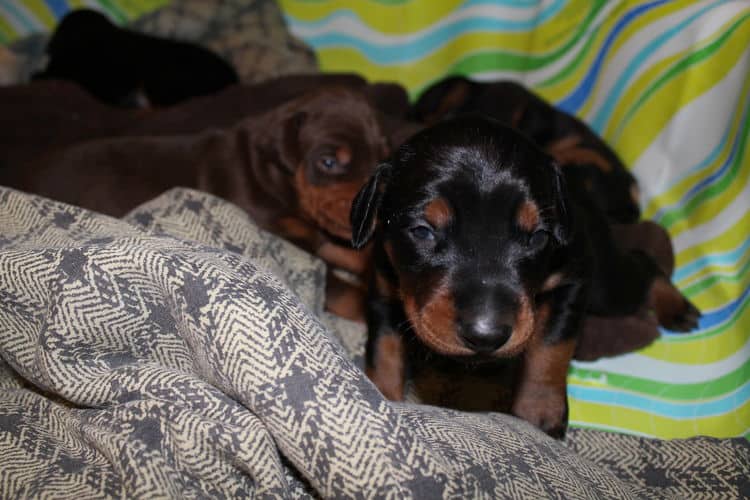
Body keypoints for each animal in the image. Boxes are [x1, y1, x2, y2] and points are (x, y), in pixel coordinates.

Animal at [352, 116, 700, 438]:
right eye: (423, 231)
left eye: (537, 237)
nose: (486, 336)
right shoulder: (384, 286)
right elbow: (383, 347)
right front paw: (380, 393)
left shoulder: (573, 280)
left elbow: (549, 347)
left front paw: (539, 410)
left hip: (607, 286)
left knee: (643, 266)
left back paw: (675, 306)